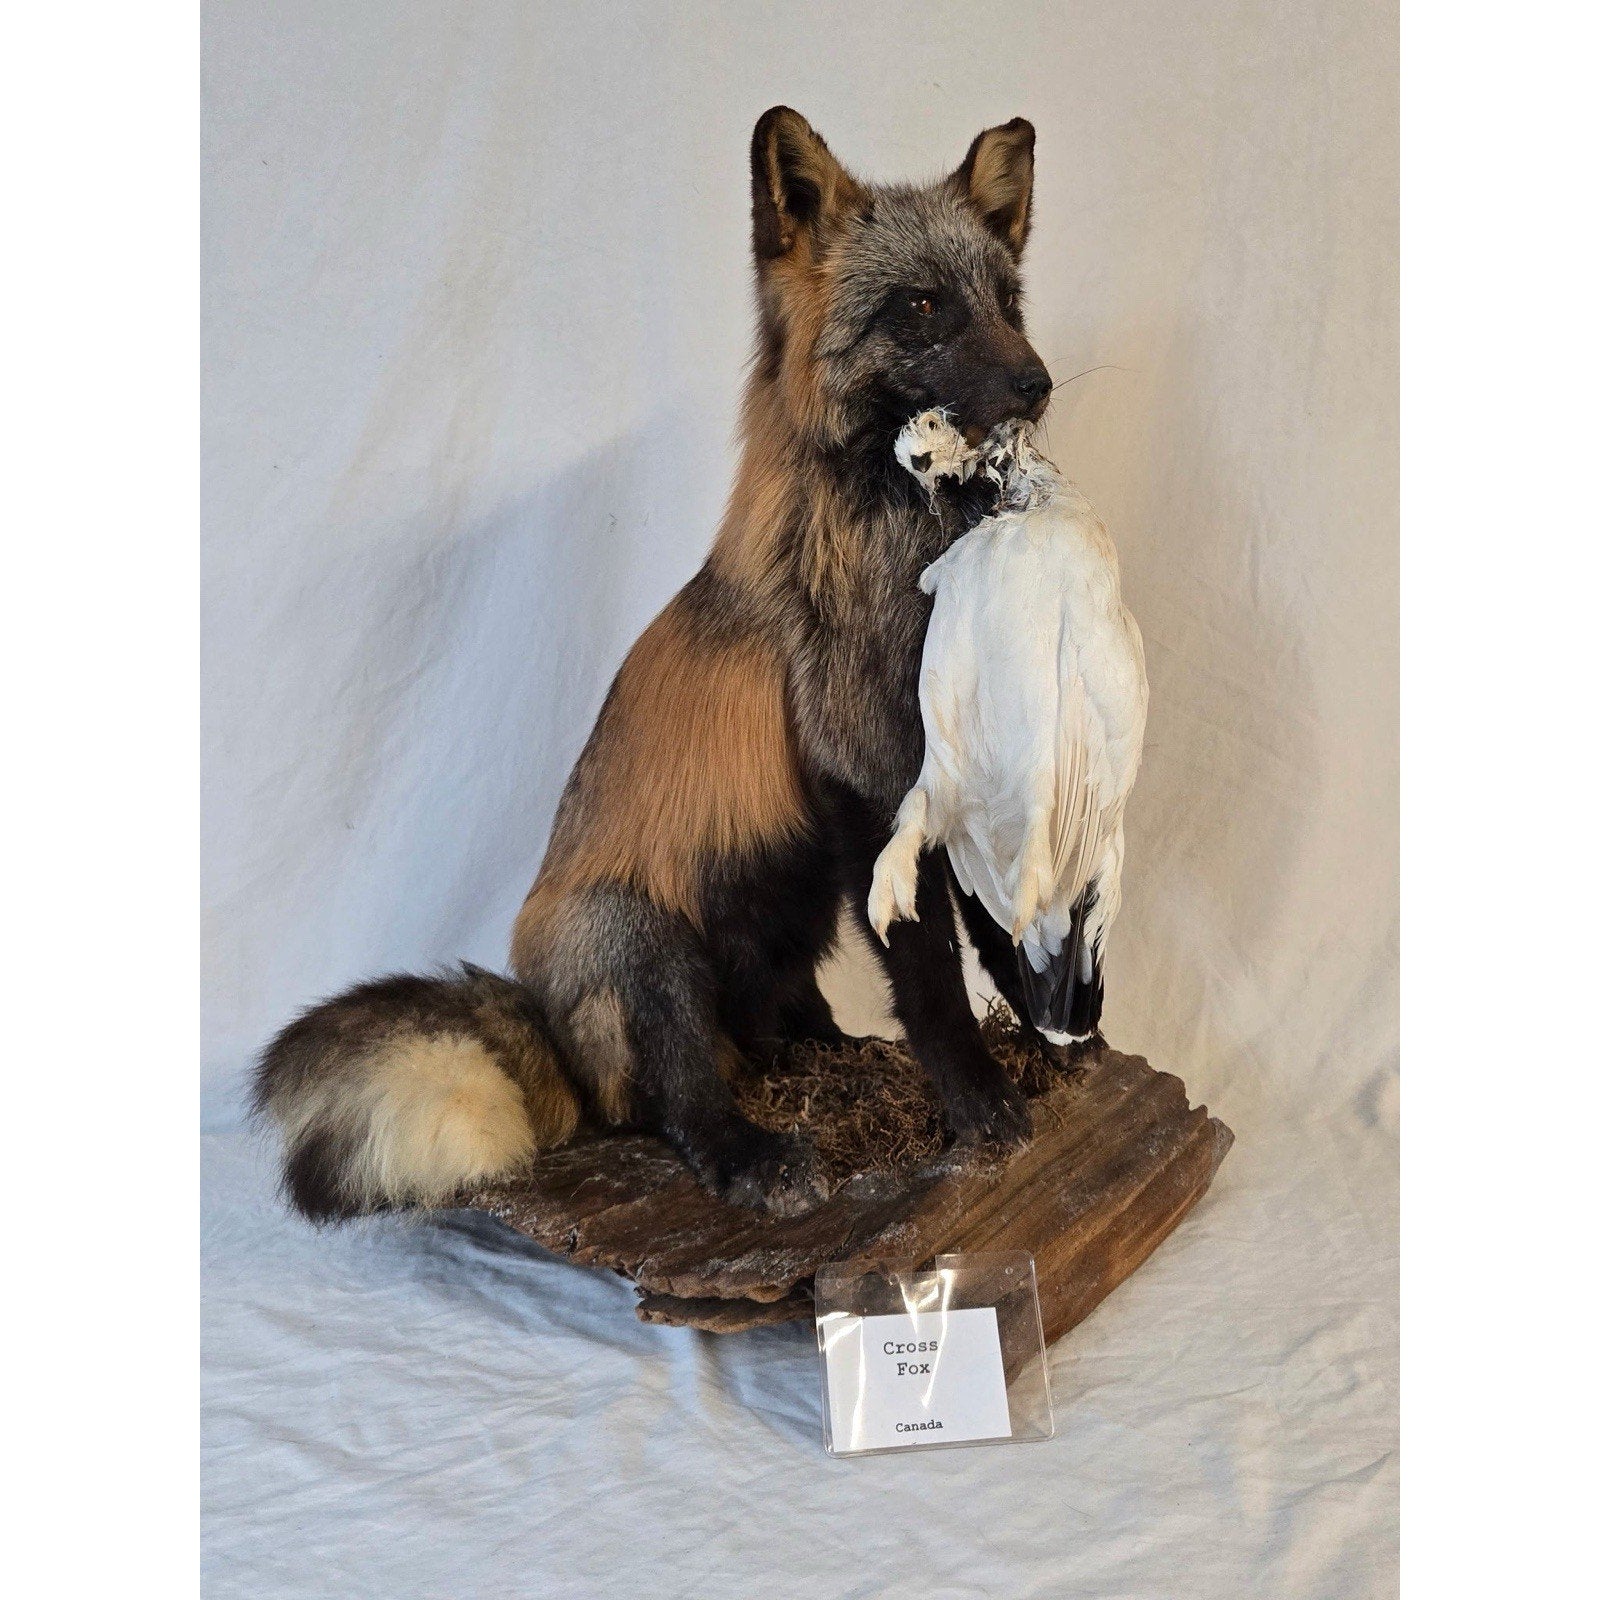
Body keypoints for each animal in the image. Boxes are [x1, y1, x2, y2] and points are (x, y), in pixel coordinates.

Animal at [255, 107, 1059, 1221]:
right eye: (924, 305)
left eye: (1007, 302)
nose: (1039, 383)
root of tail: (549, 1028)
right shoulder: (866, 769)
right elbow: (932, 971)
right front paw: (980, 1099)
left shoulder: (954, 764)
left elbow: (992, 930)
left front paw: (1057, 1041)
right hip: (644, 941)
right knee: (681, 1101)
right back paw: (754, 1151)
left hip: (788, 920)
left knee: (766, 1033)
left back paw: (826, 1054)